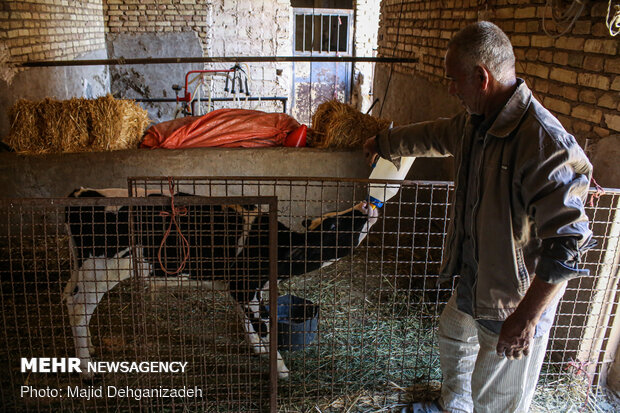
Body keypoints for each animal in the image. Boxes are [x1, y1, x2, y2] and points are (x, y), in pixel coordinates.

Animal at [65, 188, 380, 378]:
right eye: (333, 225)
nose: (366, 203)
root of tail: (82, 193)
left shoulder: (245, 287)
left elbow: (249, 319)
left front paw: (258, 350)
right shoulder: (244, 285)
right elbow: (263, 325)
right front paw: (280, 369)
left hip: (81, 267)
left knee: (68, 298)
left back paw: (90, 350)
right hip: (101, 269)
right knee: (79, 311)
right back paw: (87, 370)